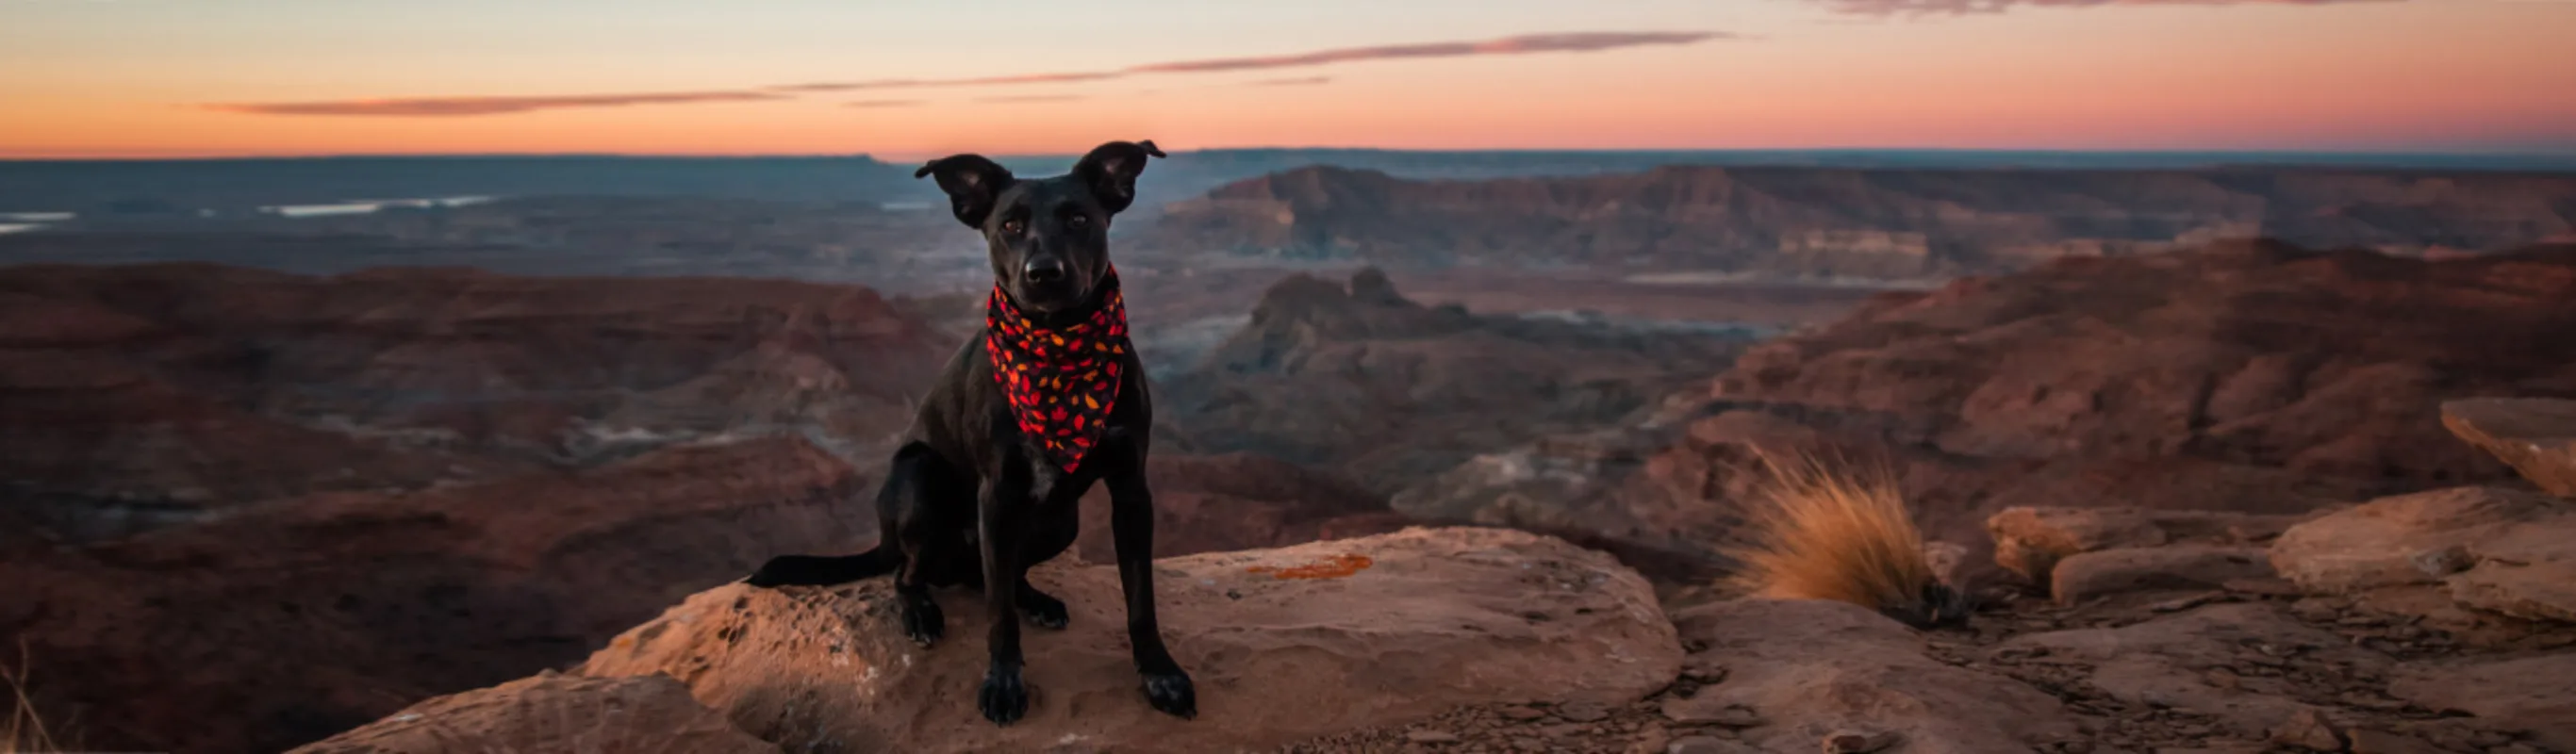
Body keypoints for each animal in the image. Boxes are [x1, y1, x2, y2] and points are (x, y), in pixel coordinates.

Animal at [741, 139, 1190, 720]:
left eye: (1079, 218)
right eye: (1010, 225)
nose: (1043, 273)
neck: (1058, 349)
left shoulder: (1132, 489)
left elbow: (1141, 598)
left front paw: (1160, 672)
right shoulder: (996, 494)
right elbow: (998, 616)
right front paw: (1003, 681)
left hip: (1060, 521)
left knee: (991, 576)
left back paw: (1035, 599)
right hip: (920, 479)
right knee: (910, 573)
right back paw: (919, 610)